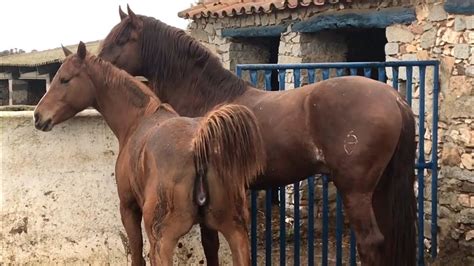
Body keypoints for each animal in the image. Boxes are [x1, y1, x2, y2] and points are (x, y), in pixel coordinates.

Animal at [33, 41, 266, 264]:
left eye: (64, 79)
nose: (38, 116)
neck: (139, 119)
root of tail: (199, 146)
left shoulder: (128, 208)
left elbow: (136, 253)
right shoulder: (209, 230)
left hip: (162, 242)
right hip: (236, 234)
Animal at [98, 6, 416, 266]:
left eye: (121, 40)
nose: (97, 62)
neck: (208, 97)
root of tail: (393, 98)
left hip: (356, 190)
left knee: (371, 243)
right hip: (379, 187)